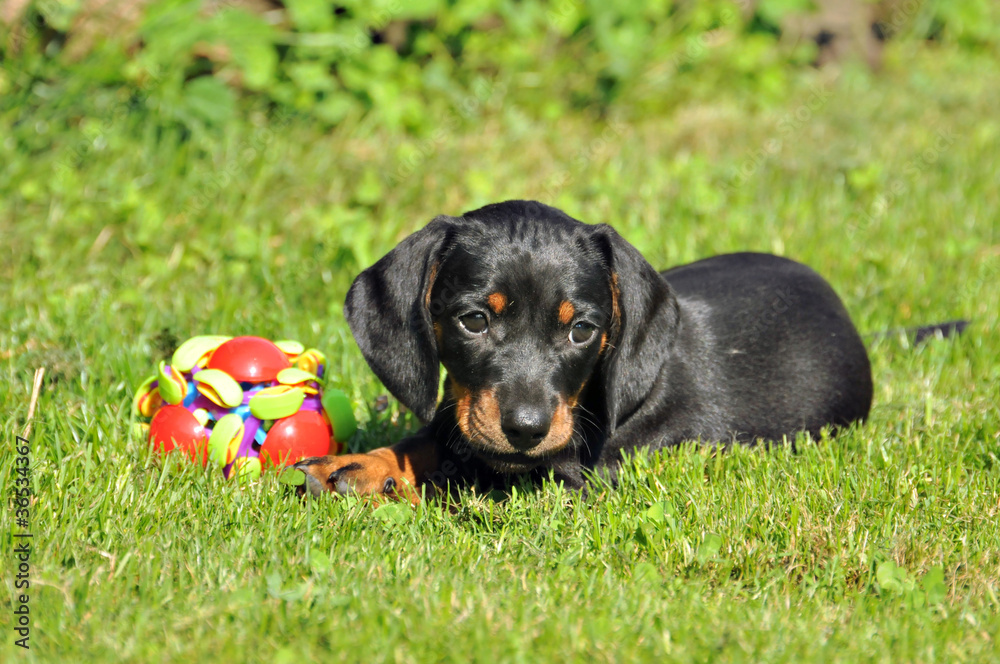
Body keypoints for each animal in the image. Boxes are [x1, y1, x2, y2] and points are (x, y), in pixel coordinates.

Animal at [292, 200, 872, 500]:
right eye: (474, 321)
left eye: (582, 331)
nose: (526, 430)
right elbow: (434, 441)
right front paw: (364, 464)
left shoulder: (572, 476)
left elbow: (461, 477)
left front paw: (395, 483)